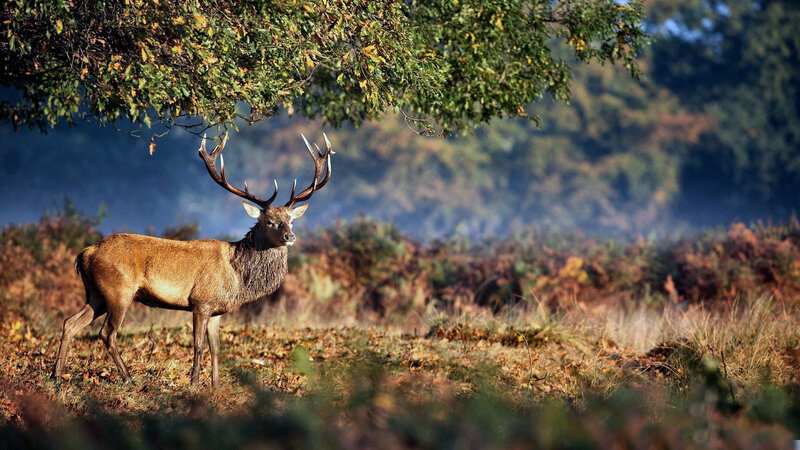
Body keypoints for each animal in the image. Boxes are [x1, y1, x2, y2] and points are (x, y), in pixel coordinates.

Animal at [51, 132, 333, 386]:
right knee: (107, 333)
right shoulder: (201, 301)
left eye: (291, 219)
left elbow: (216, 348)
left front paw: (216, 386)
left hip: (96, 294)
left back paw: (56, 376)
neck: (236, 276)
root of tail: (86, 253)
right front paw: (195, 383)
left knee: (70, 323)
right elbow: (197, 345)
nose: (290, 236)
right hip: (118, 290)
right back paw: (128, 378)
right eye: (269, 221)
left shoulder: (218, 310)